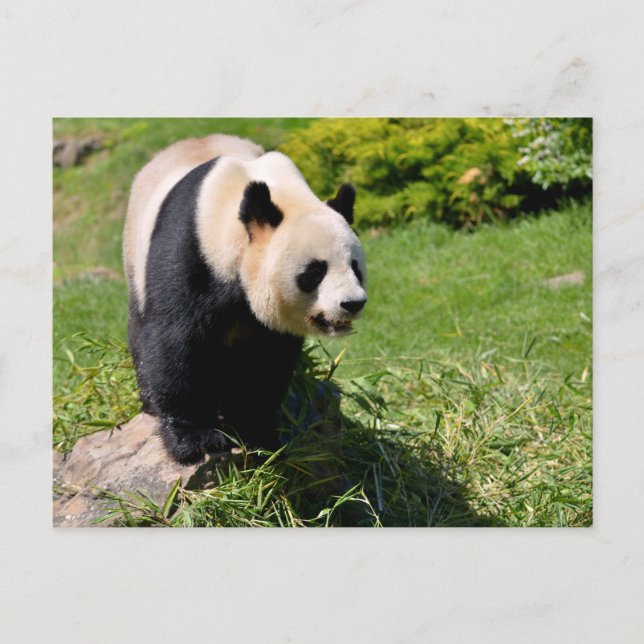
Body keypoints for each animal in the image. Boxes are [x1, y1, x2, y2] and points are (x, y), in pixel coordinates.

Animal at [123, 134, 367, 465]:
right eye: (315, 271)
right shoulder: (192, 250)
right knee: (140, 329)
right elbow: (174, 340)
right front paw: (195, 439)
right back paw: (150, 401)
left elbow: (265, 361)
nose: (352, 303)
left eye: (355, 267)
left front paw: (255, 433)